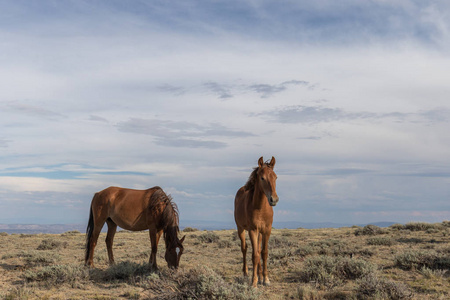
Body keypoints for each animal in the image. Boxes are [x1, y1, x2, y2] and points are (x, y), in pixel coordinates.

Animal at [234, 156, 280, 288]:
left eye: (275, 177)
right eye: (262, 178)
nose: (274, 199)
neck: (260, 208)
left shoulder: (267, 230)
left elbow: (263, 253)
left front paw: (265, 279)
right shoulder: (253, 230)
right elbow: (254, 255)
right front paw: (254, 282)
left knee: (258, 250)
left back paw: (260, 275)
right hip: (241, 229)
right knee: (244, 249)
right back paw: (245, 273)